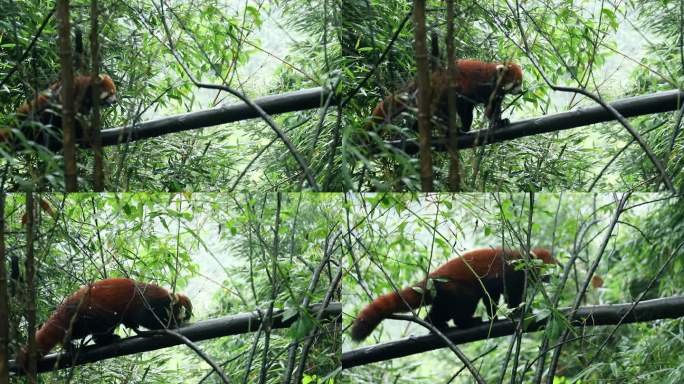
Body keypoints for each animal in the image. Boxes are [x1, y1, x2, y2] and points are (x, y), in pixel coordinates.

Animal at [20, 278, 191, 362]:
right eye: (185, 312)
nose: (187, 317)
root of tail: (68, 304)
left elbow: (133, 320)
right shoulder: (146, 303)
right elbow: (147, 318)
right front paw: (171, 324)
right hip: (93, 312)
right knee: (98, 329)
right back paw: (105, 339)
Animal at [350, 248, 552, 340]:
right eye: (548, 269)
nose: (552, 278)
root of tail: (432, 277)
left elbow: (494, 296)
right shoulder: (508, 273)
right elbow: (497, 294)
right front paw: (515, 312)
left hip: (443, 294)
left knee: (438, 310)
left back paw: (437, 324)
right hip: (455, 289)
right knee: (465, 302)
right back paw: (466, 321)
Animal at [366, 59, 520, 133]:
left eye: (520, 83)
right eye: (516, 84)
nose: (521, 90)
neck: (494, 78)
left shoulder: (496, 93)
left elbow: (492, 107)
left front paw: (500, 121)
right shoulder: (477, 85)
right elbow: (465, 106)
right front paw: (465, 126)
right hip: (442, 89)